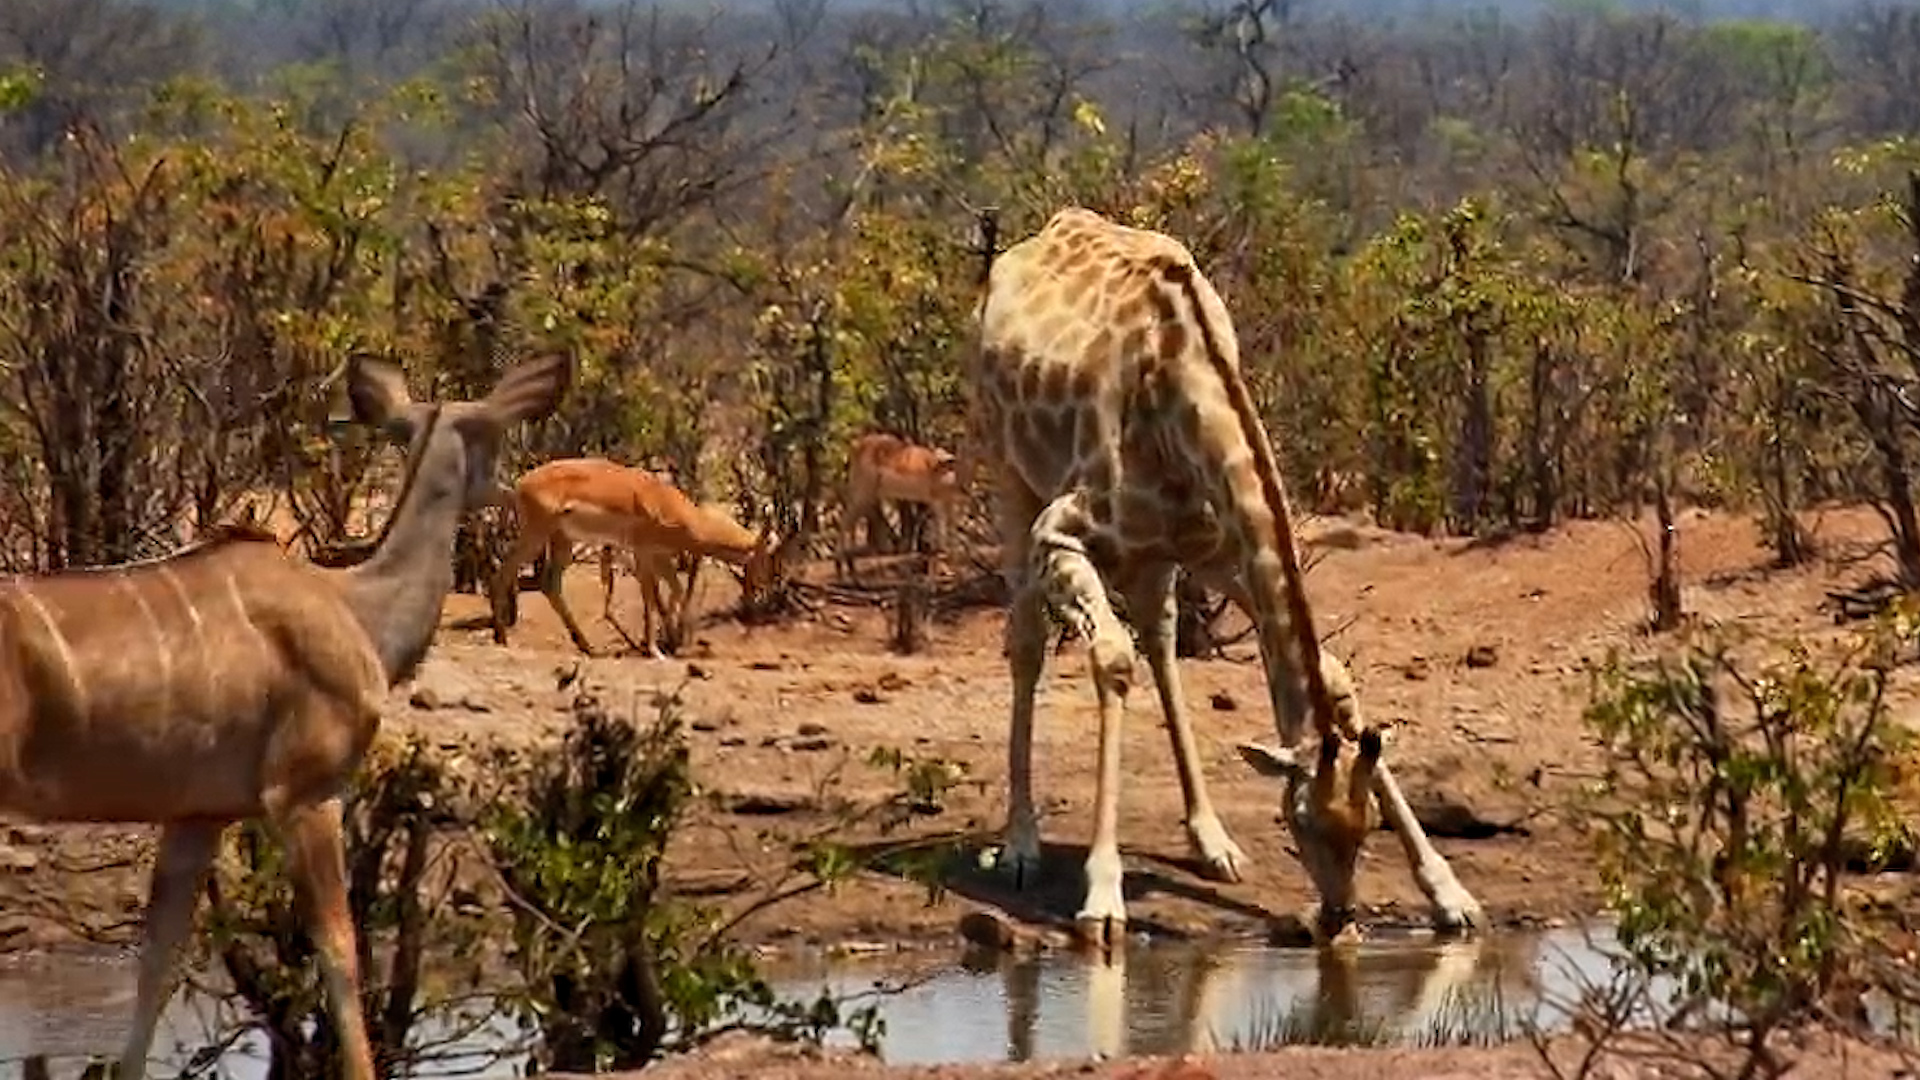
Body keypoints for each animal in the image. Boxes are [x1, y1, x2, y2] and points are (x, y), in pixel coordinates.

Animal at [970, 207, 1482, 947]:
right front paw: (1103, 896)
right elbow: (1110, 661)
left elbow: (1333, 674)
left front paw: (1451, 896)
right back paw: (1019, 846)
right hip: (1007, 470)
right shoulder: (1060, 531)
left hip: (1155, 558)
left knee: (1160, 638)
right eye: (1299, 821)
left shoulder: (1222, 548)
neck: (1178, 390)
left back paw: (1212, 841)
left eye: (1363, 827)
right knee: (1029, 643)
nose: (1340, 918)